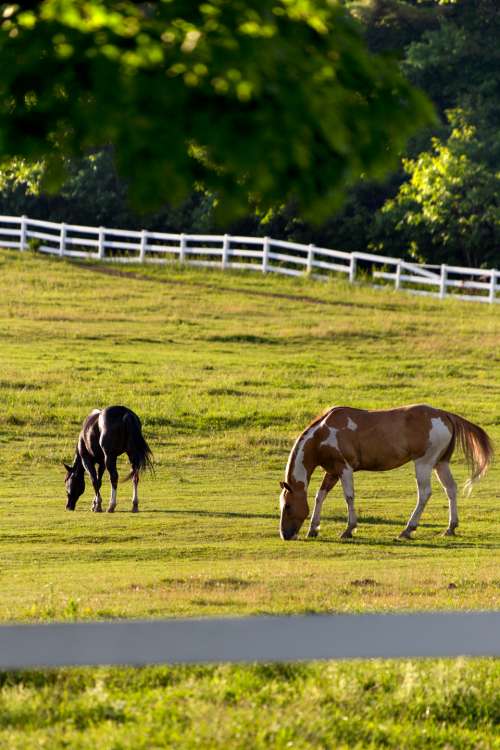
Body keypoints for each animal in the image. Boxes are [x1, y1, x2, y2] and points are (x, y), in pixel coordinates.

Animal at [280, 408, 494, 544]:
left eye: (288, 506)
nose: (284, 535)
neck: (322, 434)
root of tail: (445, 415)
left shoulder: (344, 468)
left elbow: (348, 497)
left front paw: (349, 529)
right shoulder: (332, 471)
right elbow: (320, 496)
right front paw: (313, 529)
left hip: (423, 464)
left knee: (424, 494)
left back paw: (408, 529)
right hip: (440, 464)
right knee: (451, 489)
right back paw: (450, 527)